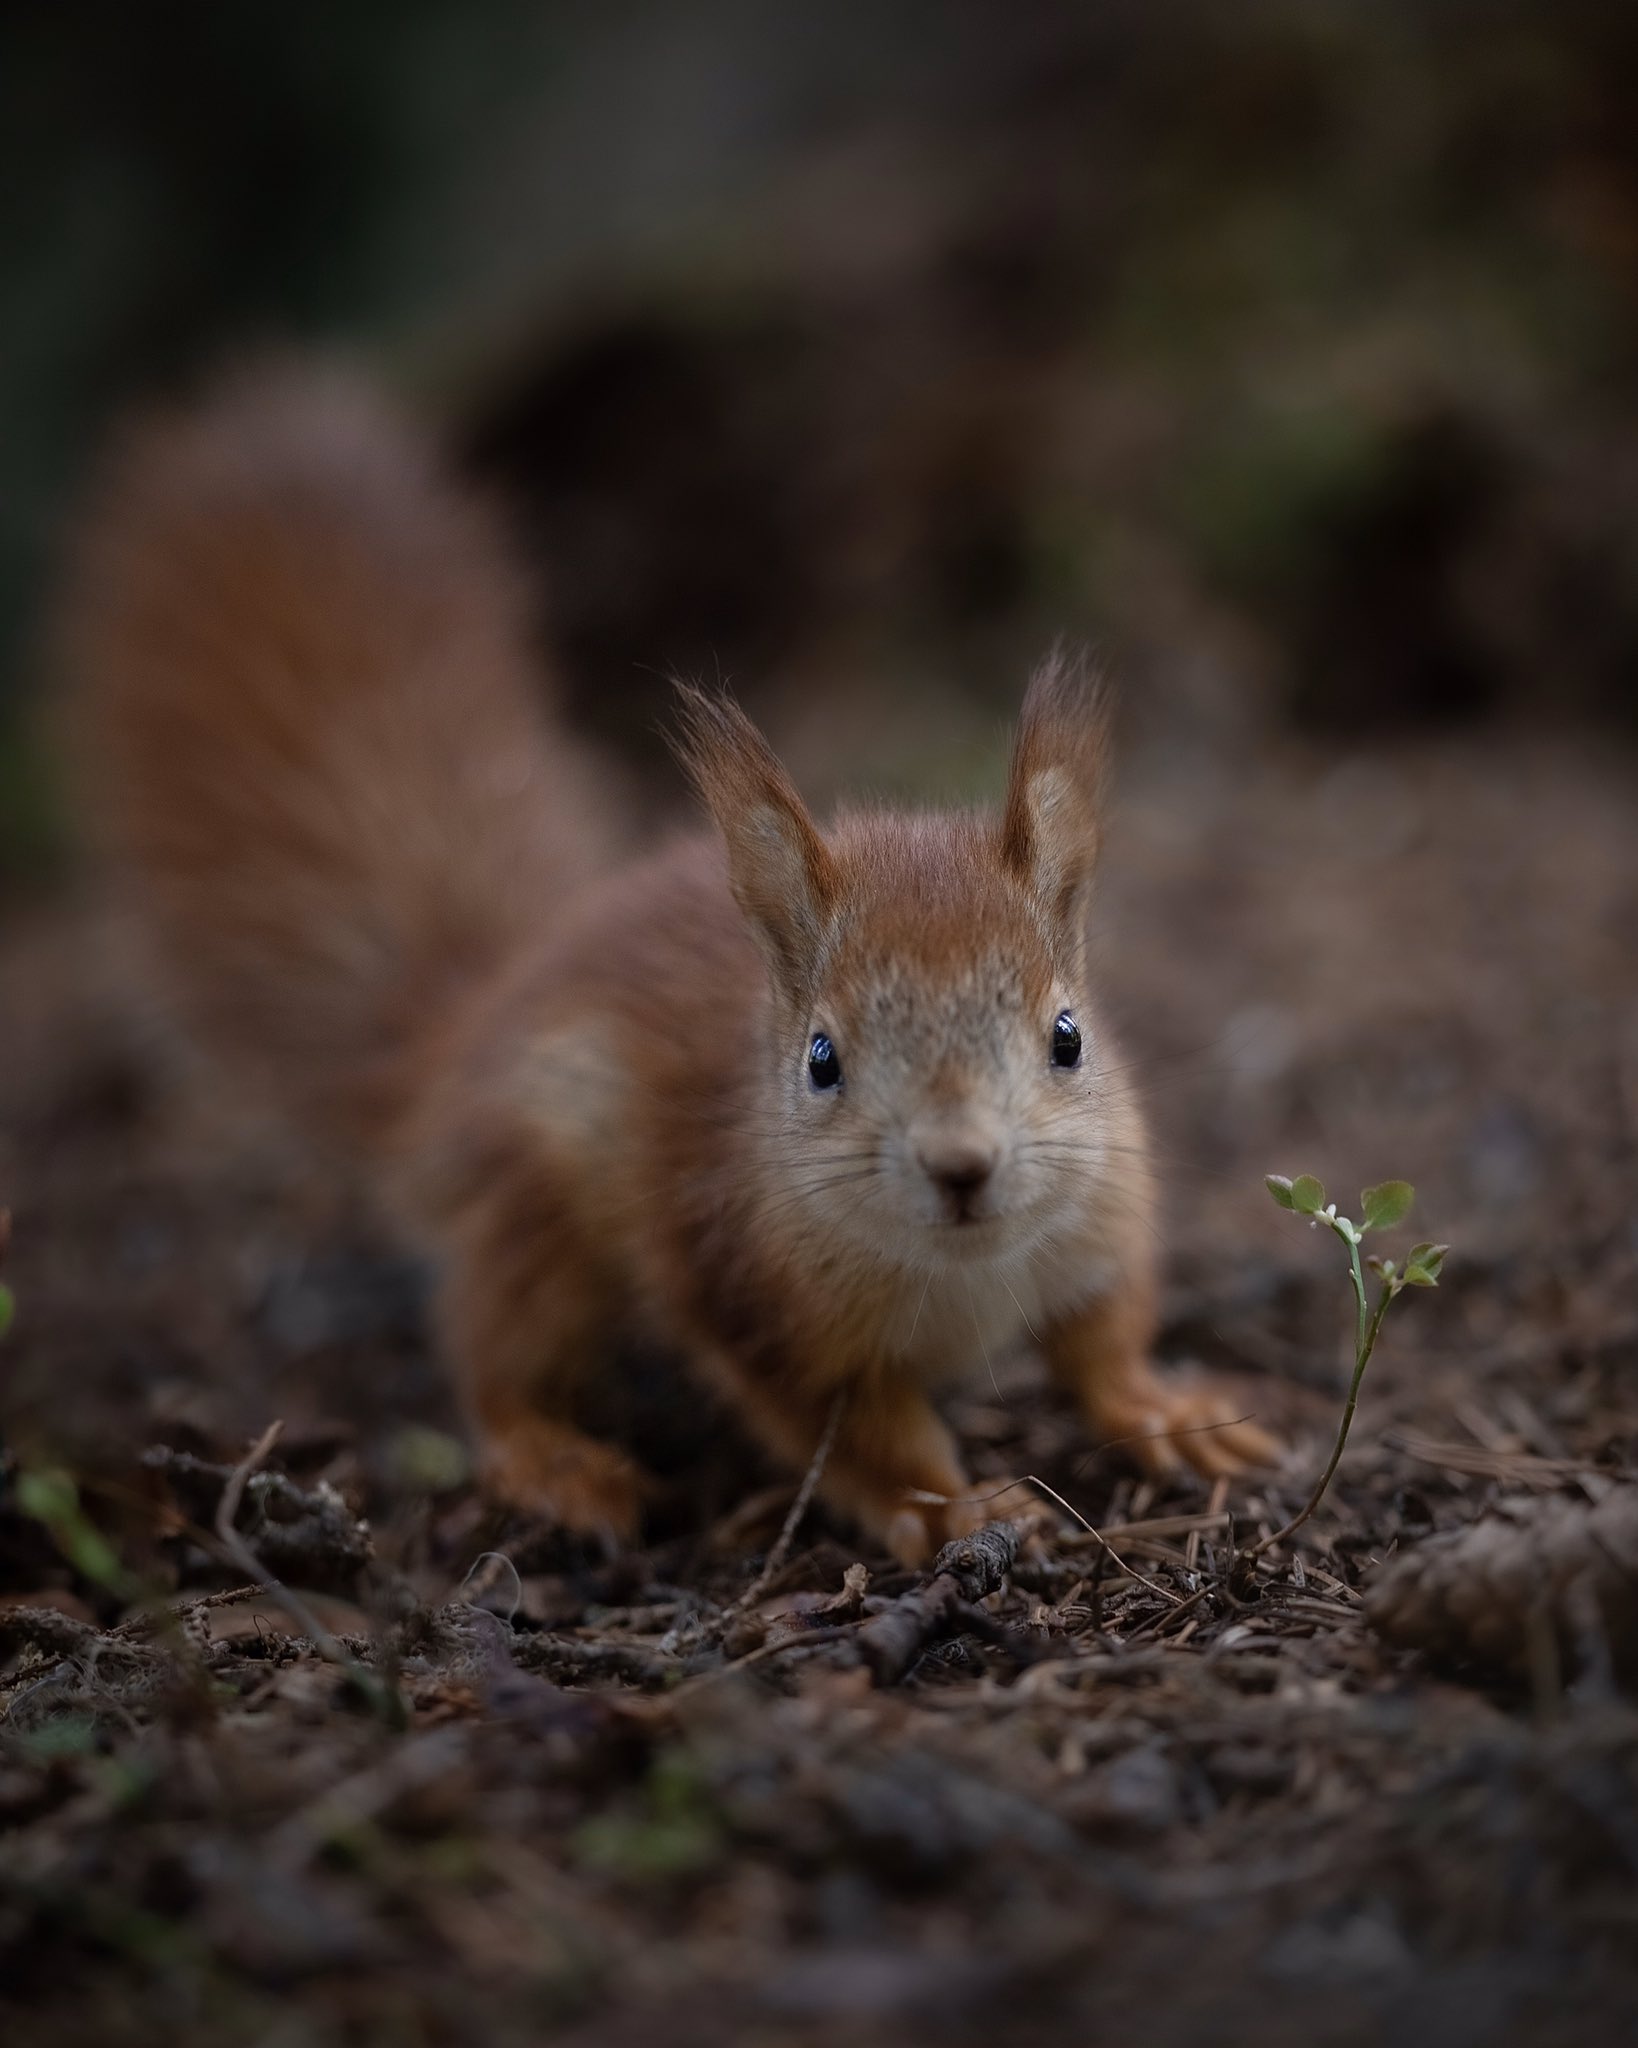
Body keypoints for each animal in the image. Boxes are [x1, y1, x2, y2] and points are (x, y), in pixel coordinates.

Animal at [67, 368, 1277, 1556]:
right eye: (822, 1060)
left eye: (1068, 1037)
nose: (962, 1163)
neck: (963, 1271)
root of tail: (473, 1022)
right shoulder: (747, 1297)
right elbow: (870, 1438)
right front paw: (958, 1508)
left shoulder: (1107, 1215)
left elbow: (1103, 1343)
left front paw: (1167, 1412)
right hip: (536, 1221)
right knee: (492, 1360)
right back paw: (553, 1462)